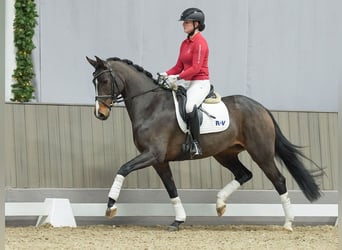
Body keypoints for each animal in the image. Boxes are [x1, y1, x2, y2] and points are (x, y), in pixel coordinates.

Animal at [85, 55, 320, 231]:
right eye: (94, 82)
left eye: (104, 81)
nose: (100, 114)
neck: (150, 105)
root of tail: (260, 107)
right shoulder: (159, 161)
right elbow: (171, 188)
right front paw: (178, 221)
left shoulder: (152, 154)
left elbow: (123, 169)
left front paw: (110, 206)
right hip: (225, 153)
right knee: (244, 174)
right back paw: (220, 204)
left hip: (260, 153)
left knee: (278, 180)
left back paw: (288, 223)